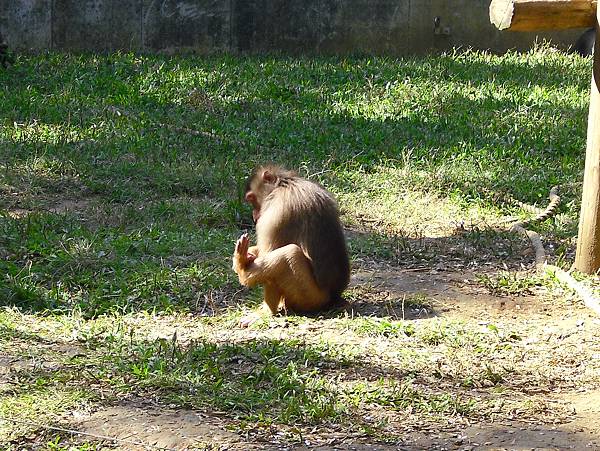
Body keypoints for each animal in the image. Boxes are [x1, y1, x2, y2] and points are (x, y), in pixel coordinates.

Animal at [231, 164, 352, 326]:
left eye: (251, 198)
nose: (254, 215)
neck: (284, 184)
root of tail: (334, 297)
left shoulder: (275, 213)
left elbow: (269, 253)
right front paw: (250, 254)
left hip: (311, 297)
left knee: (288, 253)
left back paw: (243, 270)